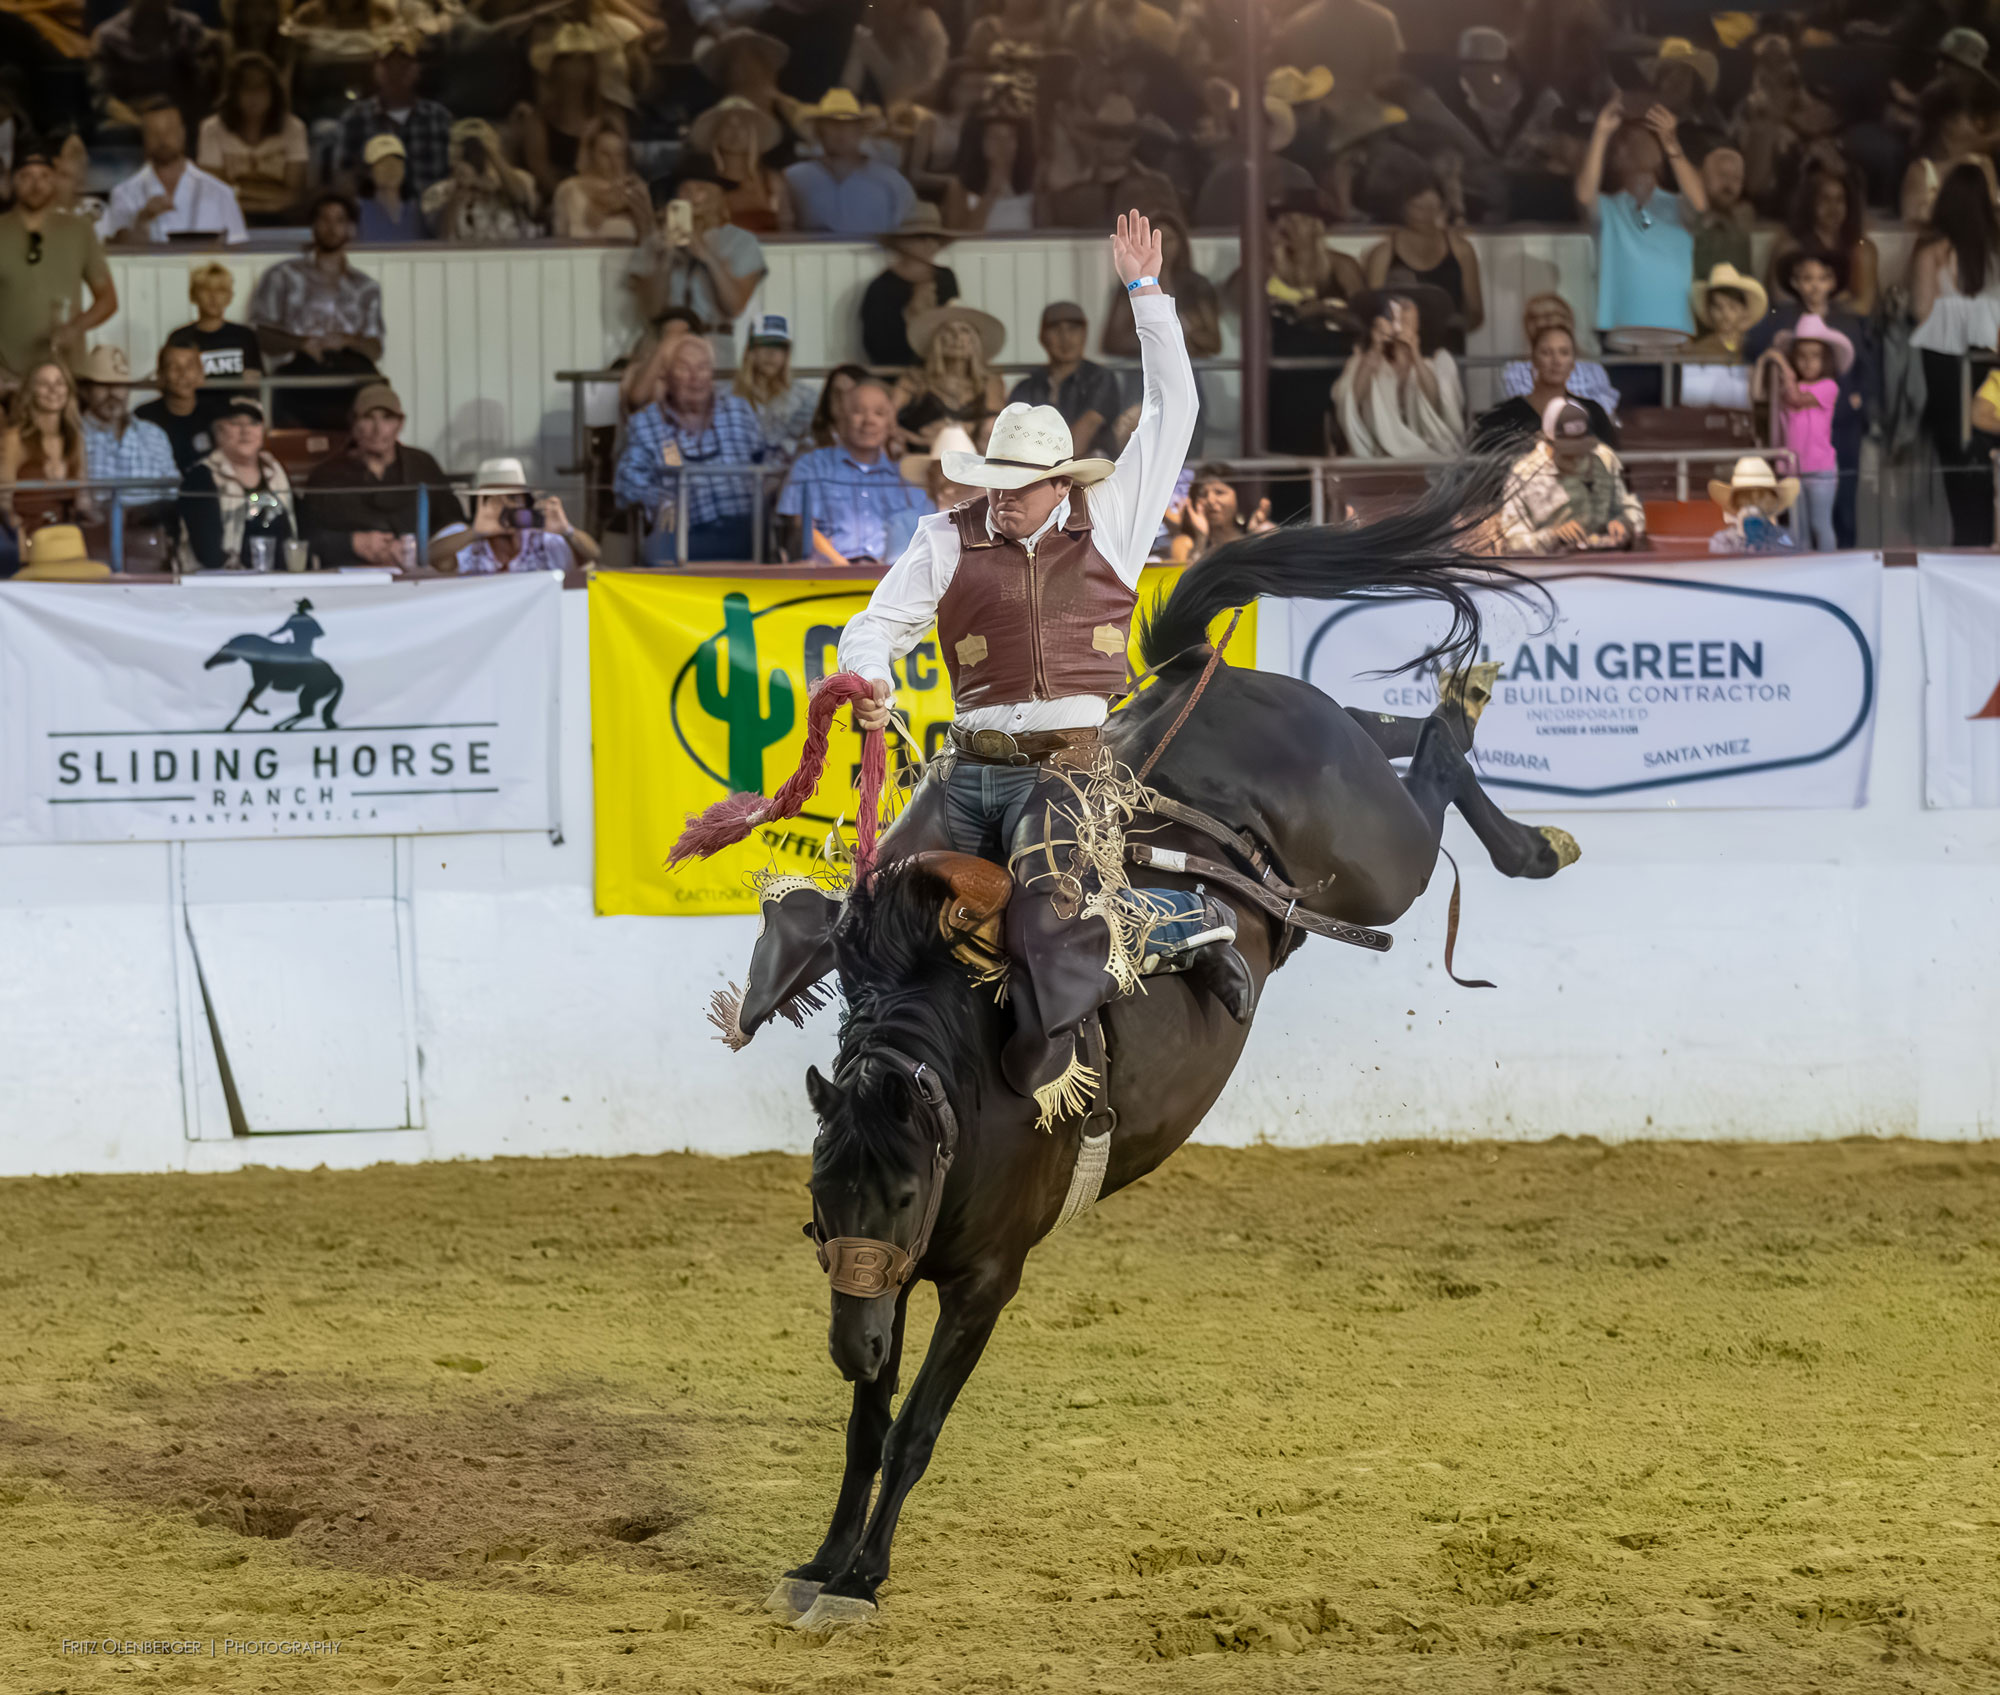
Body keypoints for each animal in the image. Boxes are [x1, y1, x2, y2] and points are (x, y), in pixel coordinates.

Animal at [204, 601, 345, 731]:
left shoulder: (262, 683)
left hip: (309, 693)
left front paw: (232, 724)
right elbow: (248, 700)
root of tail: (336, 677)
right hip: (309, 694)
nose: (206, 664)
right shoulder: (260, 684)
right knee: (306, 712)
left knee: (308, 712)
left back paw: (280, 725)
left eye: (223, 648)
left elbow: (247, 701)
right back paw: (282, 725)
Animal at [764, 469, 1569, 1633]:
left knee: (1429, 773)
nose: (848, 1348)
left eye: (905, 1190)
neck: (970, 1080)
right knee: (1396, 728)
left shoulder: (984, 1282)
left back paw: (1507, 796)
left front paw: (865, 1575)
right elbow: (868, 1425)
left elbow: (913, 1428)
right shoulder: (887, 1278)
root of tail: (1196, 680)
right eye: (823, 1197)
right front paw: (824, 1560)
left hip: (1382, 858)